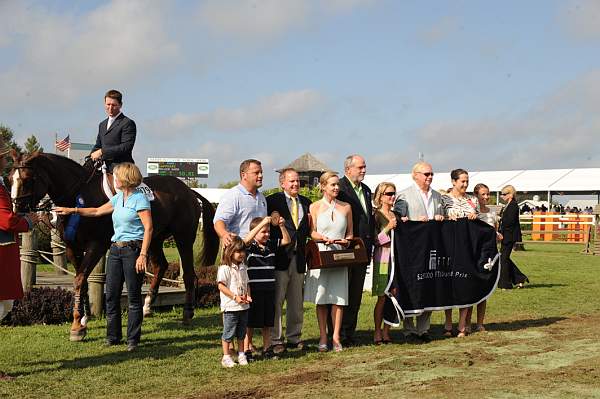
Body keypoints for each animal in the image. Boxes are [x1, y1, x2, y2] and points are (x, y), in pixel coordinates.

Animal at [9, 152, 219, 340]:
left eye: (27, 179)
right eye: (10, 178)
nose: (16, 211)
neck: (78, 194)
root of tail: (188, 190)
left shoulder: (96, 246)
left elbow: (79, 280)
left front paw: (76, 325)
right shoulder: (72, 248)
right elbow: (81, 280)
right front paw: (84, 318)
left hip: (183, 238)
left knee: (189, 274)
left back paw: (187, 313)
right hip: (154, 239)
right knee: (161, 266)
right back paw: (147, 306)